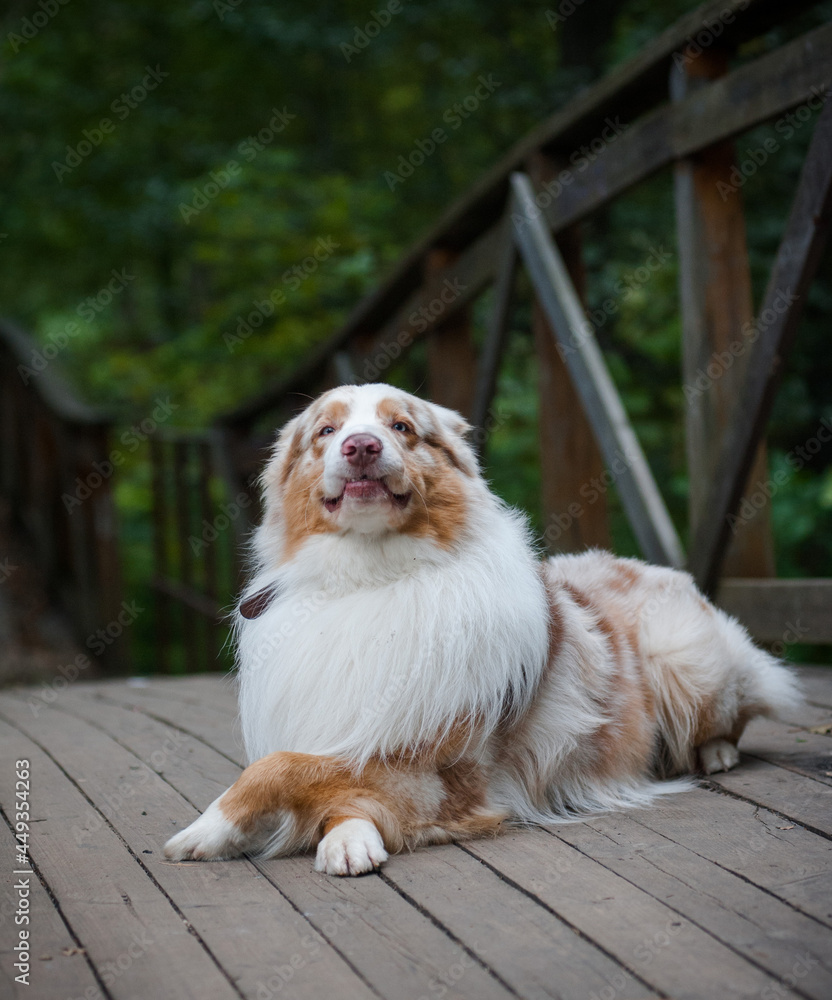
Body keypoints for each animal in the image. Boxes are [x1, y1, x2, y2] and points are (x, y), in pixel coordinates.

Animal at [164, 382, 800, 876]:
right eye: (326, 430)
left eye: (401, 426)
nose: (361, 445)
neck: (371, 575)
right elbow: (328, 779)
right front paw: (346, 837)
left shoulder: (445, 769)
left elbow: (287, 767)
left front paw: (208, 828)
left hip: (682, 654)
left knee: (741, 707)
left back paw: (716, 753)